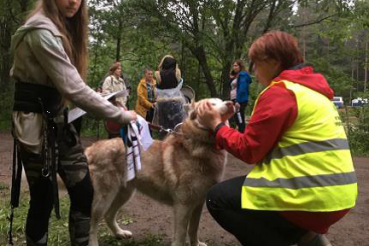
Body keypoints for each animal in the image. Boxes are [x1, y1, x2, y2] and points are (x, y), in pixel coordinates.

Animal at [87, 98, 233, 246]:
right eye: (211, 104)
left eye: (221, 101)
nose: (231, 103)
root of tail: (91, 148)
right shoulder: (183, 205)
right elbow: (181, 235)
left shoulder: (198, 203)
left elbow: (193, 229)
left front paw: (196, 244)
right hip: (104, 197)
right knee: (93, 222)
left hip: (125, 193)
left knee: (109, 215)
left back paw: (120, 233)